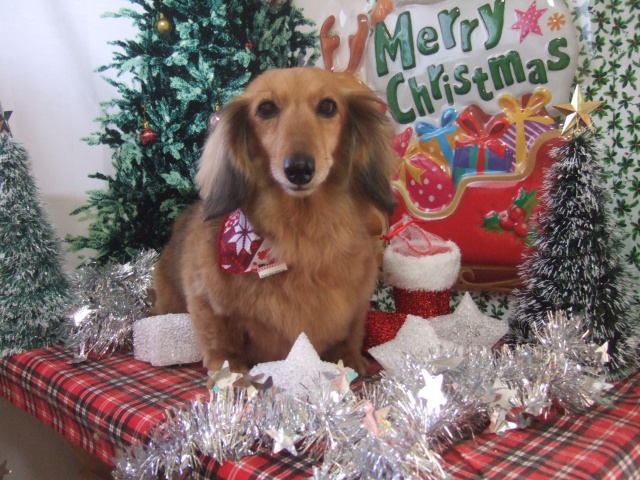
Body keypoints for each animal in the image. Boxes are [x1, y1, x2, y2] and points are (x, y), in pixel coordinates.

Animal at [152, 67, 397, 375]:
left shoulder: (357, 306)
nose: (299, 169)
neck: (300, 235)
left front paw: (351, 360)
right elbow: (222, 347)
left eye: (328, 106)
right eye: (266, 108)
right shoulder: (205, 302)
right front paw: (233, 376)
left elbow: (349, 336)